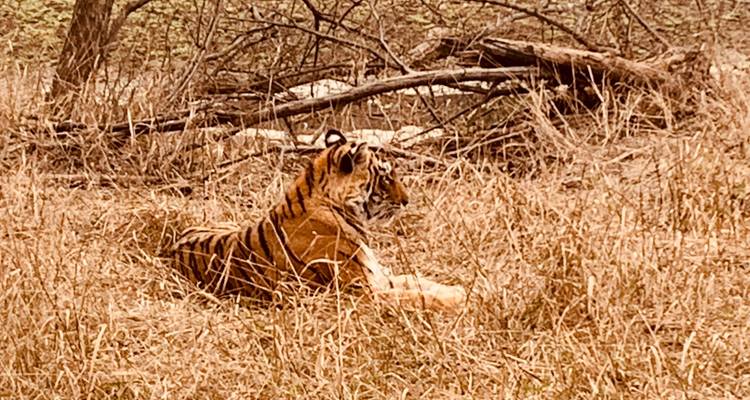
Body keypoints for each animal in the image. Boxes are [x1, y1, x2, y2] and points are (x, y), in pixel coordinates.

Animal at [170, 129, 466, 312]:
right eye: (384, 177)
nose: (407, 200)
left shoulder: (378, 277)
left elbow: (419, 281)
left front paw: (458, 288)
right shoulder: (361, 293)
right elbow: (417, 297)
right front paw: (461, 299)